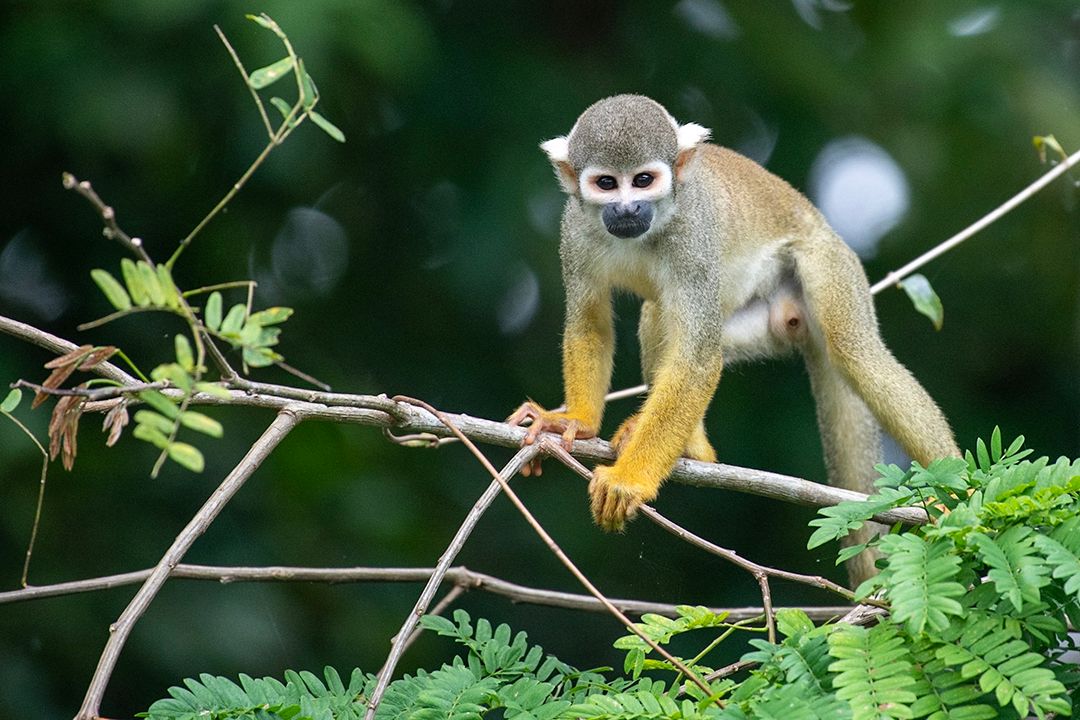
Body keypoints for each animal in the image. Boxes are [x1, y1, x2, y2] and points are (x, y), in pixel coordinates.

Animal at [509, 95, 959, 578]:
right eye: (607, 184)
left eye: (643, 180)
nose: (627, 209)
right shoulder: (573, 230)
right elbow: (589, 324)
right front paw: (575, 422)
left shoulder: (693, 235)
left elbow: (699, 358)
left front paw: (629, 481)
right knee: (658, 315)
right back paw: (691, 449)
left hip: (826, 260)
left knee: (853, 351)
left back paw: (960, 491)